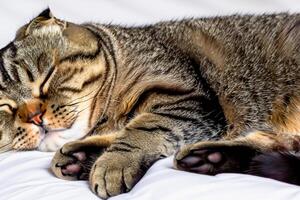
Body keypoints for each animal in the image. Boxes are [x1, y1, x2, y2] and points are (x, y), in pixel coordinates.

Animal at [0, 7, 300, 198]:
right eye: (6, 108)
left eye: (46, 76)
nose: (35, 117)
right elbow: (131, 128)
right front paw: (85, 153)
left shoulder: (189, 101)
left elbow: (144, 128)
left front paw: (113, 161)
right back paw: (206, 157)